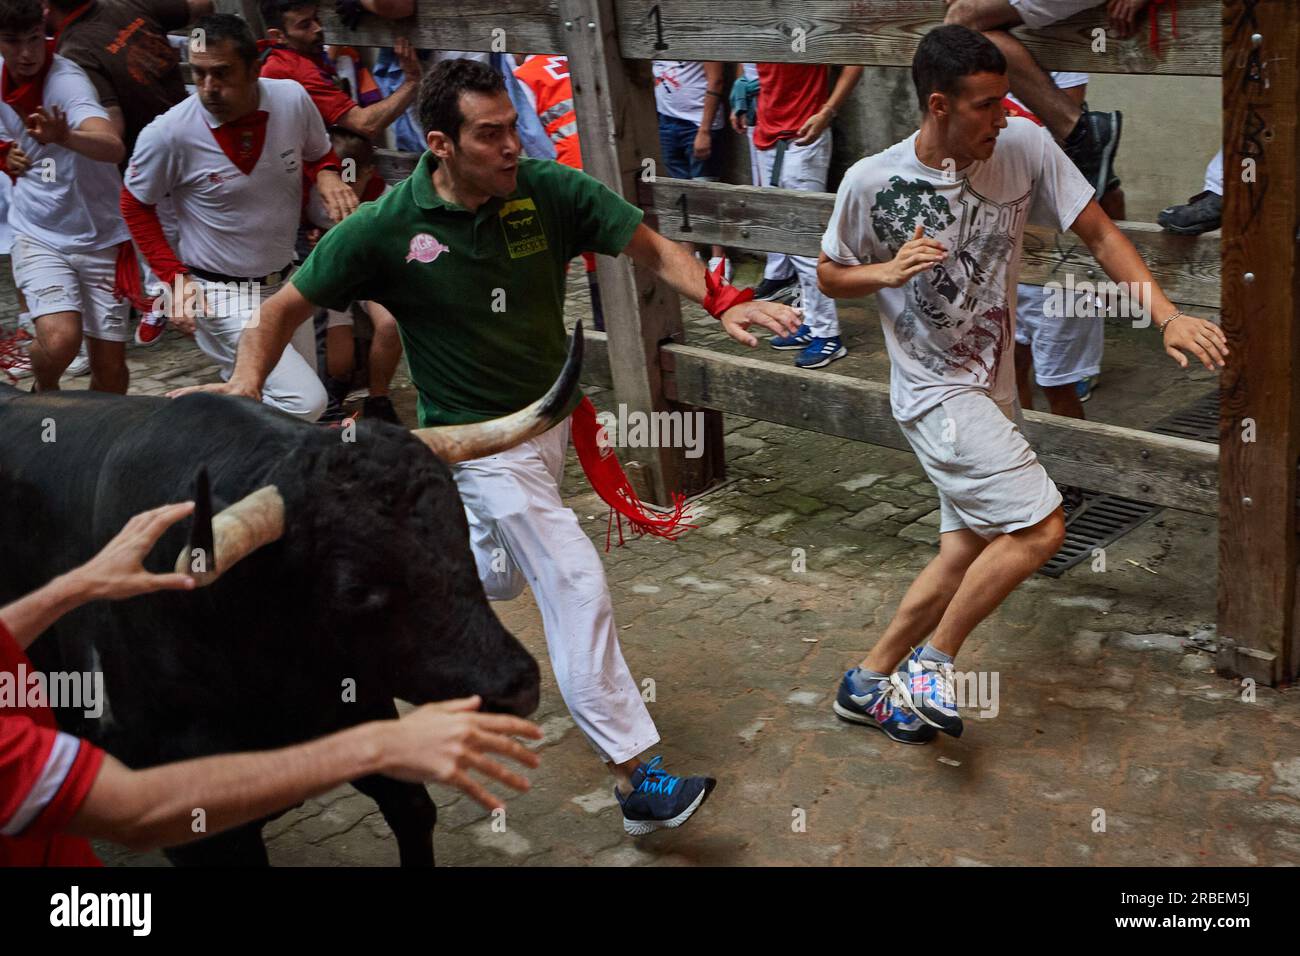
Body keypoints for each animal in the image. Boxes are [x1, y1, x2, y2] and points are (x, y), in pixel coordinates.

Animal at [0, 353, 587, 868]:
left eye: (459, 527)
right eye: (354, 588)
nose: (516, 685)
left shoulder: (358, 710)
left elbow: (413, 809)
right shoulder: (195, 831)